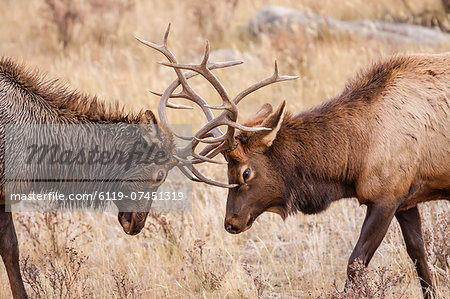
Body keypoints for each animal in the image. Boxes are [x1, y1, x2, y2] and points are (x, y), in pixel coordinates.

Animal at [149, 29, 450, 299]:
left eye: (245, 172)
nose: (231, 223)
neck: (357, 154)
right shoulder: (406, 199)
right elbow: (419, 257)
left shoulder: (386, 195)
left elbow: (355, 263)